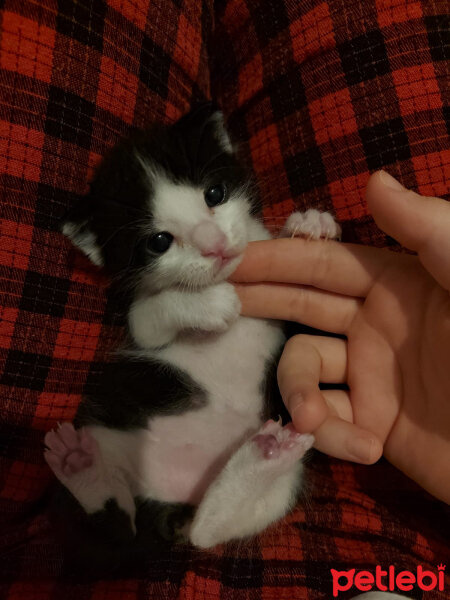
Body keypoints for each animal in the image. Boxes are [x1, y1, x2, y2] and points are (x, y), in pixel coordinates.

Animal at [44, 103, 342, 568]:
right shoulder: (140, 319)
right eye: (159, 241)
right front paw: (210, 304)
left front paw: (310, 225)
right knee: (126, 529)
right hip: (110, 429)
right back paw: (81, 466)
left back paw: (264, 455)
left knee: (204, 531)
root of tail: (176, 498)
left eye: (215, 194)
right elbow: (155, 312)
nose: (214, 245)